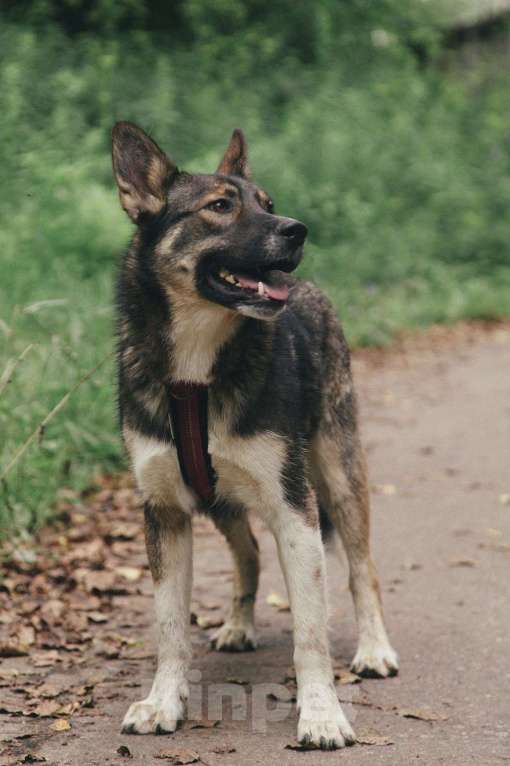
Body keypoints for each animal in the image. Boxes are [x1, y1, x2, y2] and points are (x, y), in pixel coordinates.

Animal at [111, 123, 398, 752]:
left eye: (268, 203)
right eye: (220, 207)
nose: (297, 230)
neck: (195, 374)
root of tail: (311, 288)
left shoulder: (295, 508)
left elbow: (311, 631)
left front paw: (321, 714)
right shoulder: (164, 511)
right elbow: (170, 625)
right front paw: (164, 702)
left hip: (339, 475)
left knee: (361, 569)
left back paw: (374, 648)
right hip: (221, 502)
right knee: (248, 555)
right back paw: (239, 623)